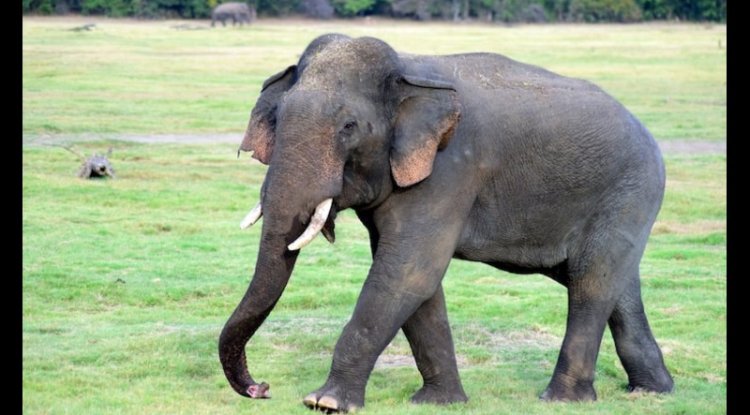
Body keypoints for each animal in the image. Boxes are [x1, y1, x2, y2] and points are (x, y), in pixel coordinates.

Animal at [219, 33, 674, 412]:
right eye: (277, 119)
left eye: (348, 127)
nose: (261, 388)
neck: (407, 68)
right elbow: (417, 281)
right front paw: (440, 403)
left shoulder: (450, 169)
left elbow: (407, 272)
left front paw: (325, 403)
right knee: (616, 284)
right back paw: (652, 391)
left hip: (630, 191)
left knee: (591, 283)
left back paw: (563, 400)